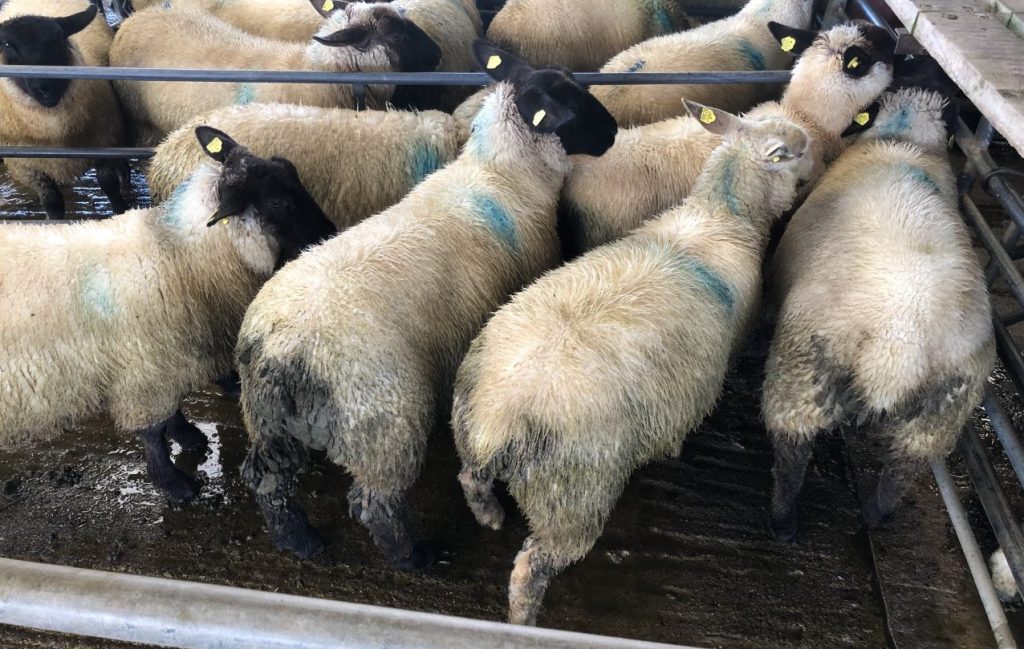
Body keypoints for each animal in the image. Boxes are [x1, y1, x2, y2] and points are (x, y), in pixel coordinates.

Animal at [0, 2, 132, 218]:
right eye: (7, 45)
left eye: (60, 39)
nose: (45, 88)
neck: (56, 133)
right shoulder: (29, 168)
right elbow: (52, 203)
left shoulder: (105, 146)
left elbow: (109, 187)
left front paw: (120, 211)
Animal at [0, 127, 336, 502]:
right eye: (279, 203)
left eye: (291, 170)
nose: (330, 234)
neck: (178, 255)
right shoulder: (146, 369)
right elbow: (153, 431)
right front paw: (173, 482)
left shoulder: (164, 362)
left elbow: (173, 410)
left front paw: (189, 437)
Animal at [236, 41, 617, 568]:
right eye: (572, 103)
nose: (615, 132)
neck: (502, 175)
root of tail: (284, 352)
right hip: (385, 428)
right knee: (376, 503)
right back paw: (413, 556)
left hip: (269, 423)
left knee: (268, 484)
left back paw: (301, 540)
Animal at [450, 101, 812, 625]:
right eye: (797, 151)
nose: (815, 173)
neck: (721, 217)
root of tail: (498, 417)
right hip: (573, 496)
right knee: (530, 569)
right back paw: (524, 620)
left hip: (471, 431)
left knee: (470, 479)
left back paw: (491, 516)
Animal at [761, 74, 995, 542]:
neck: (904, 139)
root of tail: (899, 345)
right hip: (938, 418)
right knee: (901, 471)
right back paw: (876, 513)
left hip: (798, 383)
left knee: (791, 457)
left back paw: (783, 523)